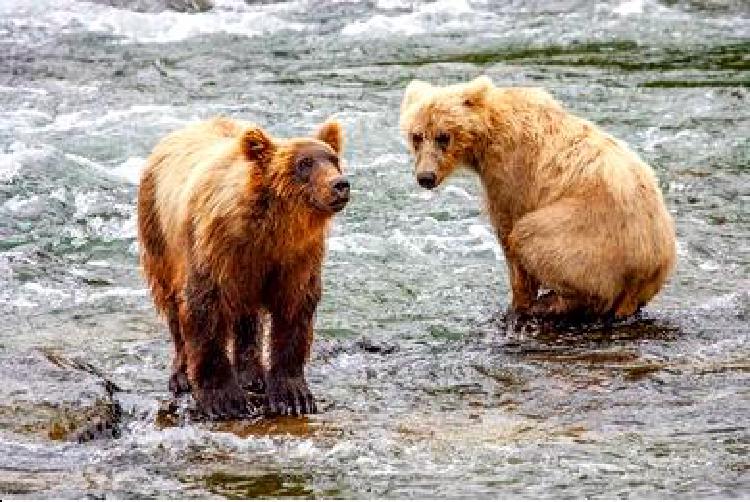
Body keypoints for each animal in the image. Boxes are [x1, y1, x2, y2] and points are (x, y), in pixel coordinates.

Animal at [138, 115, 350, 418]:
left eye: (333, 159)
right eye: (305, 163)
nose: (340, 184)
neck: (270, 227)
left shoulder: (295, 256)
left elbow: (295, 308)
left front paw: (293, 395)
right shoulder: (214, 248)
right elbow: (203, 306)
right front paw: (223, 399)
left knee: (247, 315)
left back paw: (252, 375)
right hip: (158, 230)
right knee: (171, 302)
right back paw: (181, 376)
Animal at [402, 76, 680, 320]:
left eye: (443, 136)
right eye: (416, 136)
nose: (425, 177)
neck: (487, 136)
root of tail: (651, 264)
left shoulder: (510, 171)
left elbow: (508, 230)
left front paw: (519, 302)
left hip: (591, 236)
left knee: (532, 238)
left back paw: (552, 303)